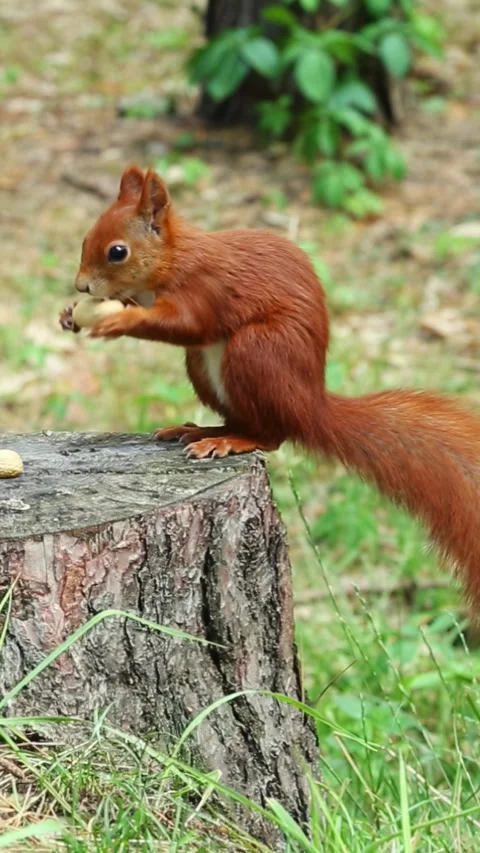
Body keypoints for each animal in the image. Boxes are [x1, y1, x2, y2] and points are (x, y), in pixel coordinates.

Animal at [63, 164, 480, 605]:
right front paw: (69, 315)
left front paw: (117, 320)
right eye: (86, 239)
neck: (173, 259)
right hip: (205, 367)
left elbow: (185, 323)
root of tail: (309, 406)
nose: (81, 286)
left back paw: (230, 441)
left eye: (117, 252)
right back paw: (203, 431)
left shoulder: (205, 289)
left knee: (272, 435)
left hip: (257, 352)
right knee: (245, 420)